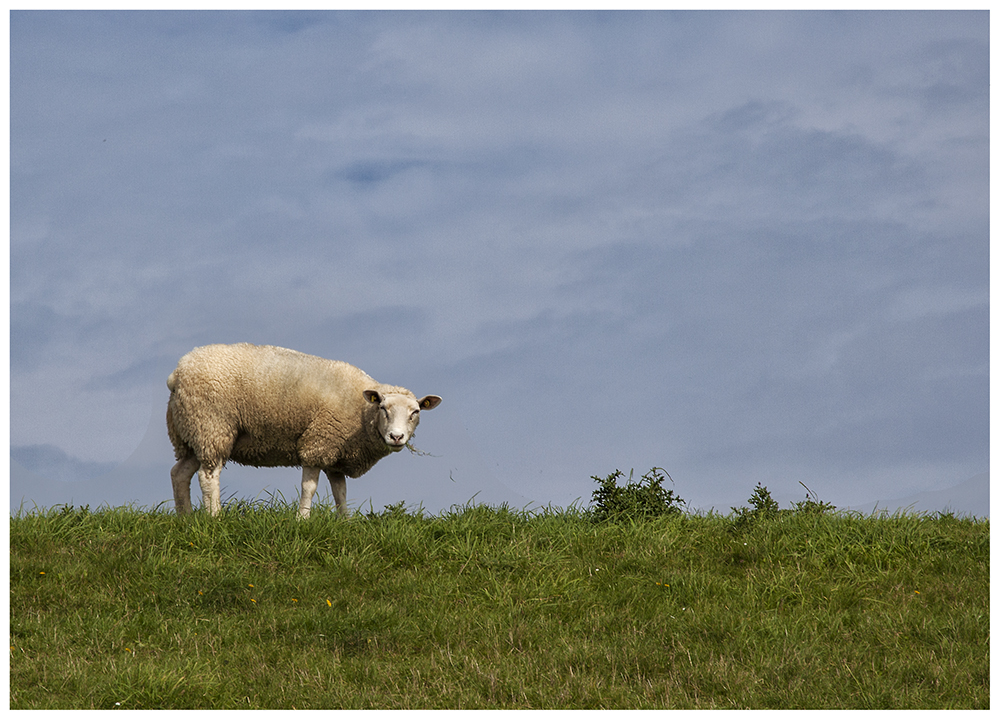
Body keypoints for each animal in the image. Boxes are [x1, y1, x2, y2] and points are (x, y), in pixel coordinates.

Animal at [166, 344, 440, 516]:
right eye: (383, 408)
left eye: (415, 412)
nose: (397, 437)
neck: (361, 411)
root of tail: (177, 373)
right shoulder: (318, 443)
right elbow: (310, 488)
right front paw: (303, 519)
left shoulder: (336, 456)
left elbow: (341, 493)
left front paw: (345, 523)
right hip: (212, 426)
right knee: (208, 476)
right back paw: (215, 516)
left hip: (189, 434)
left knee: (179, 473)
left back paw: (186, 518)